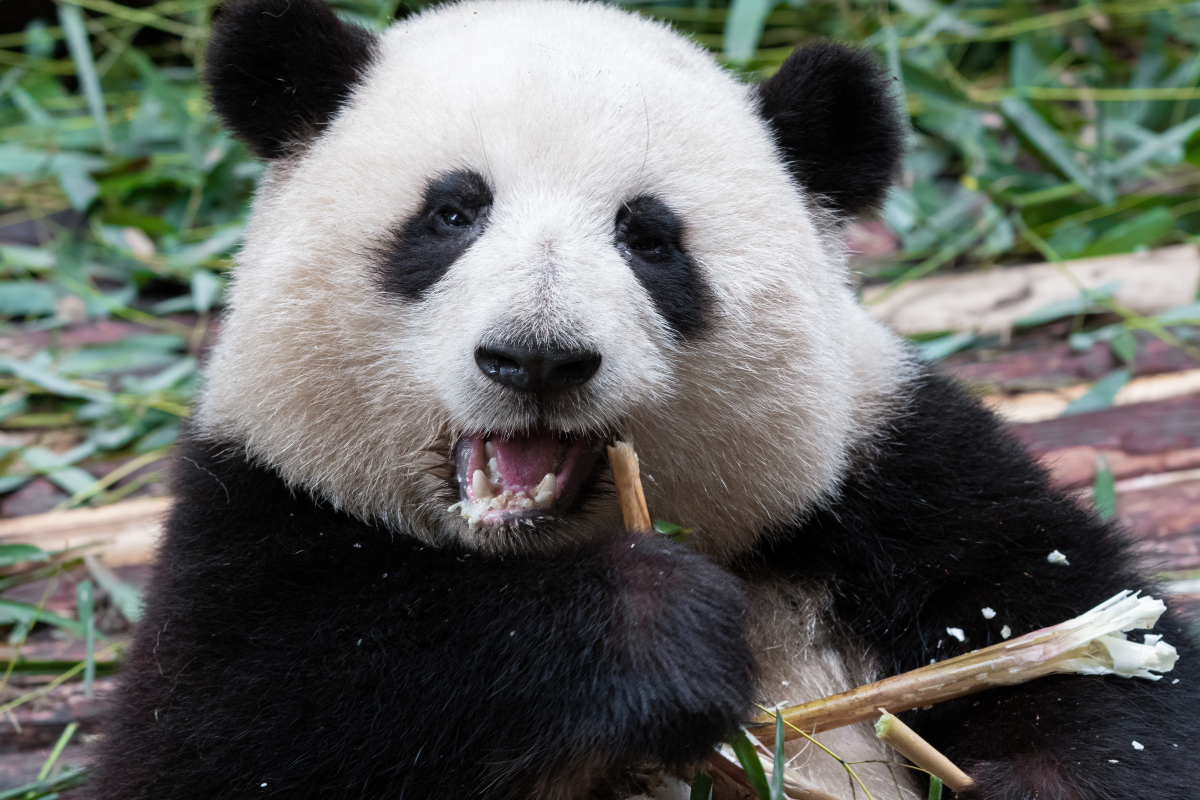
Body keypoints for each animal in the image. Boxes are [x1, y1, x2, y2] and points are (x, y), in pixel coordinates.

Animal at [88, 1, 1195, 800]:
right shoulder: (257, 509)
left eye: (650, 237)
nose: (537, 357)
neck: (525, 552)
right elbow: (233, 731)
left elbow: (1084, 650)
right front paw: (651, 624)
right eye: (452, 213)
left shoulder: (897, 479)